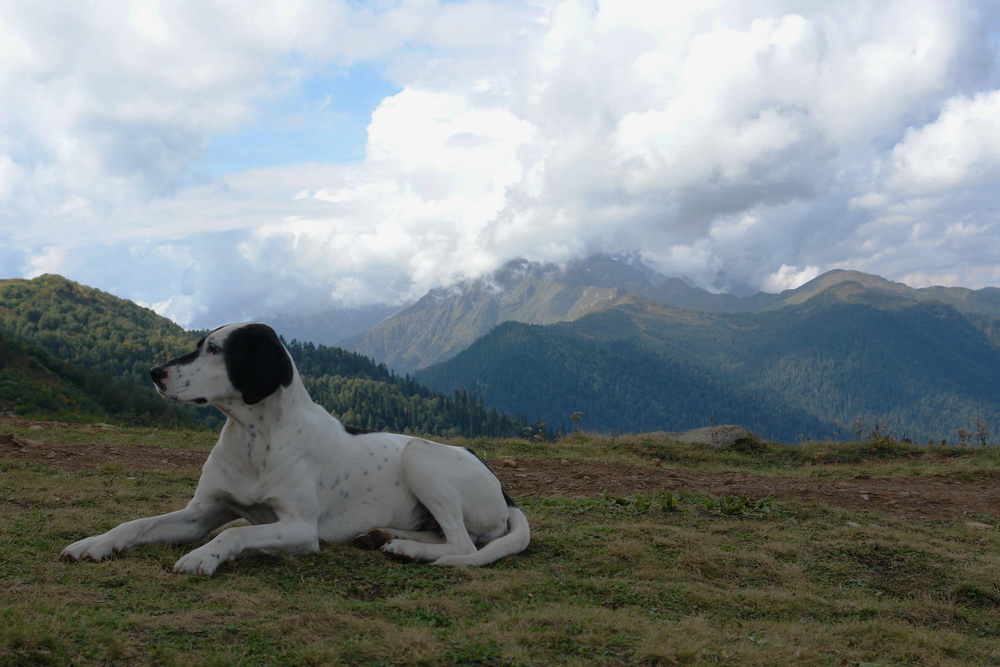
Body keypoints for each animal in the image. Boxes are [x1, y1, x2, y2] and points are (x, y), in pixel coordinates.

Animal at [59, 324, 532, 576]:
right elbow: (137, 523)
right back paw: (386, 536)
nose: (154, 373)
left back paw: (407, 549)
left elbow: (236, 533)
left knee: (463, 546)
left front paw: (203, 556)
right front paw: (95, 543)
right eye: (199, 346)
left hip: (419, 454)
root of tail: (505, 492)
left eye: (214, 349)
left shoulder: (300, 528)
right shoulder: (201, 513)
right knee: (448, 536)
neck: (253, 437)